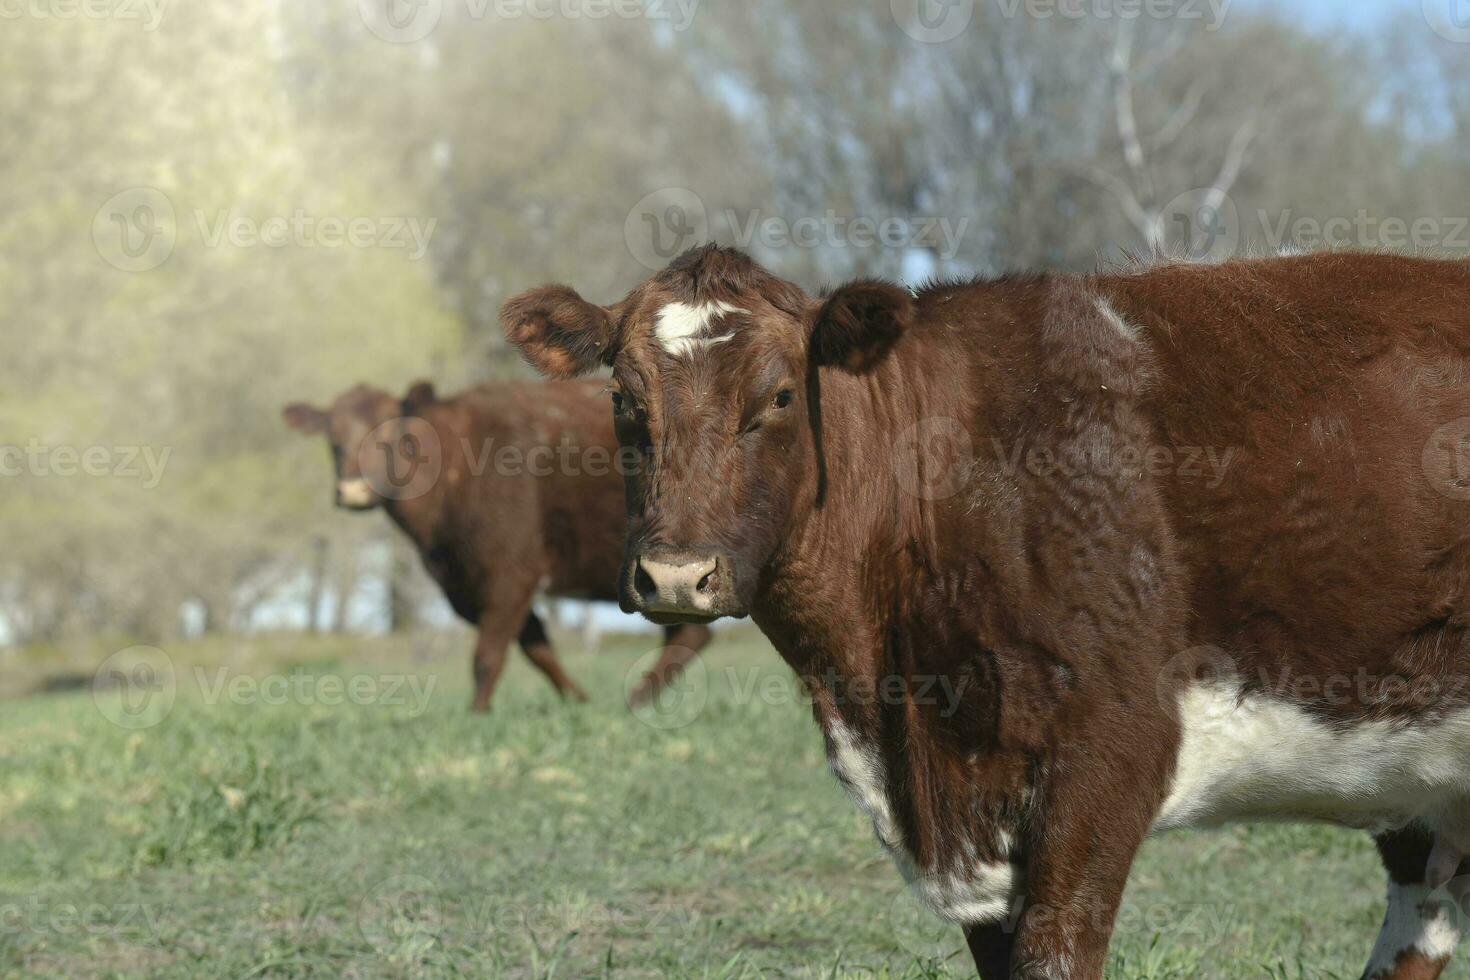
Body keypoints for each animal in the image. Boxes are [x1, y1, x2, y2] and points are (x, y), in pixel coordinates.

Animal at [282, 379, 711, 714]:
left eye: (391, 437)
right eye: (332, 439)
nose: (352, 491)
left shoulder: (510, 573)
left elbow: (487, 655)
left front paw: (476, 714)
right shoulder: (473, 584)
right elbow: (537, 647)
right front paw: (578, 700)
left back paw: (636, 700)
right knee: (688, 636)